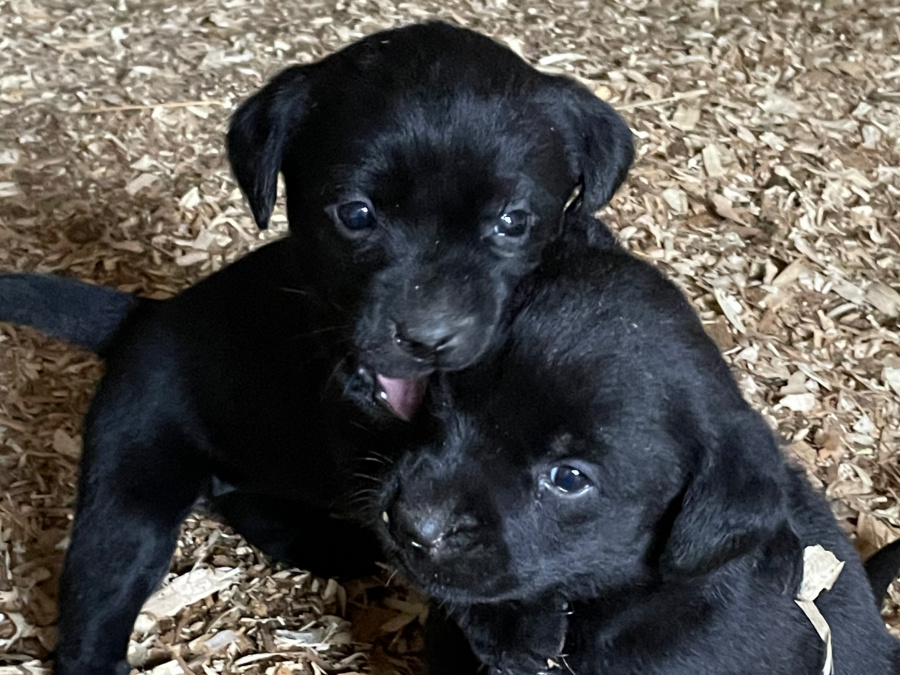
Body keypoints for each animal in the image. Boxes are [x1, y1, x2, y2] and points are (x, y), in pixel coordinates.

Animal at [0, 21, 632, 675]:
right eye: (355, 214)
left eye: (514, 221)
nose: (429, 338)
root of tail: (147, 314)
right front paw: (512, 619)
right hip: (130, 493)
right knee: (99, 594)